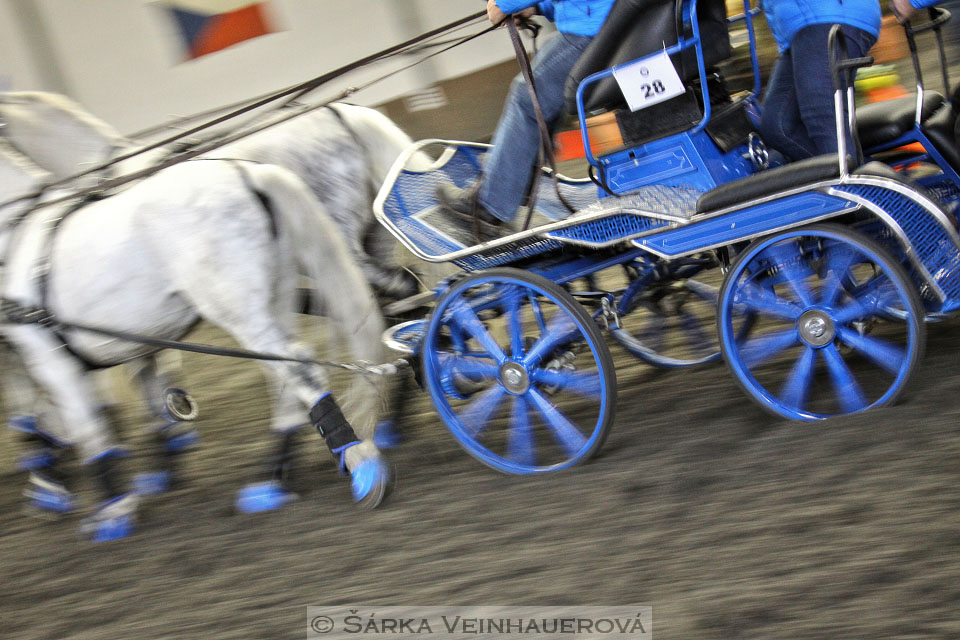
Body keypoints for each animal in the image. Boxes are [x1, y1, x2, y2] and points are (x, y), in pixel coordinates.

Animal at [0, 134, 394, 540]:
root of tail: (248, 174)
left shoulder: (48, 357)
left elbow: (85, 425)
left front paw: (111, 510)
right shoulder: (124, 345)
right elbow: (53, 412)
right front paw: (55, 486)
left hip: (237, 309)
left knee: (301, 369)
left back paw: (362, 465)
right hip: (277, 298)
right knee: (285, 375)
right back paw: (272, 480)